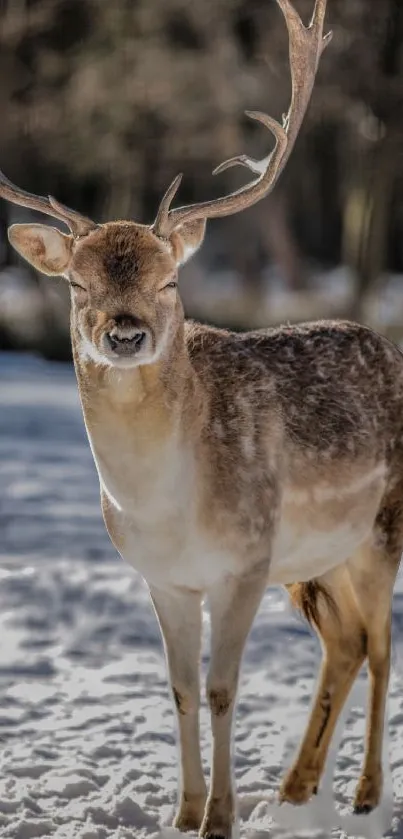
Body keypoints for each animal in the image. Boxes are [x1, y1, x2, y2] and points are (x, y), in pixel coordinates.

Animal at [0, 0, 402, 836]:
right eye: (77, 282)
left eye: (170, 279)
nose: (125, 333)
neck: (166, 506)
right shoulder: (163, 578)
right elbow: (181, 689)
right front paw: (184, 814)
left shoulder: (243, 561)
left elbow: (222, 689)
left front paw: (219, 816)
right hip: (315, 560)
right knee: (346, 641)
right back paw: (294, 789)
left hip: (382, 525)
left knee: (382, 645)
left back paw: (362, 793)